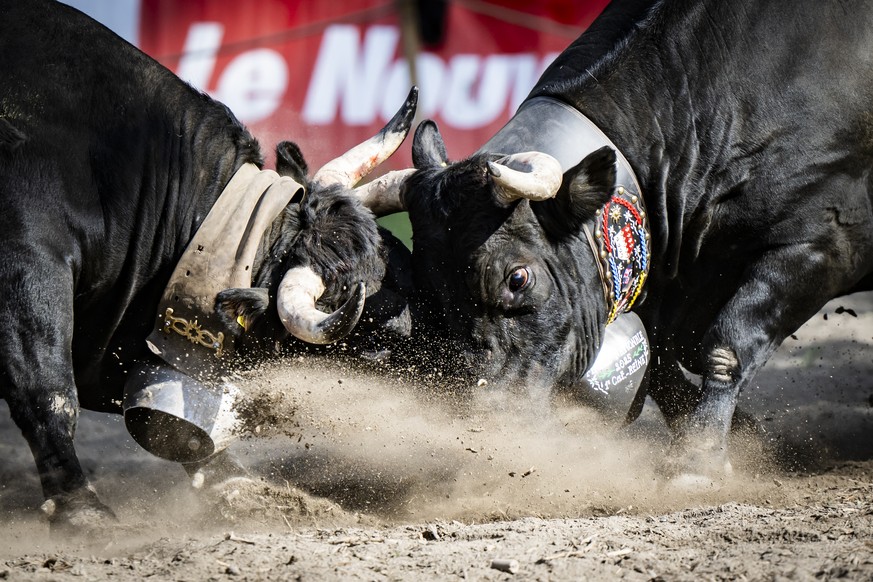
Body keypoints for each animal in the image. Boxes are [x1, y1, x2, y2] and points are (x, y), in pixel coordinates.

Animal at [0, 0, 417, 532]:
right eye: (367, 330)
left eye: (396, 257)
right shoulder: (27, 263)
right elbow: (47, 391)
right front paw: (81, 508)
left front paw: (239, 485)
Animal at [389, 0, 873, 483]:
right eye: (425, 294)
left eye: (518, 278)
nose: (484, 417)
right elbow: (660, 364)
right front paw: (744, 436)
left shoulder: (821, 245)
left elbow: (727, 345)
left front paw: (698, 457)